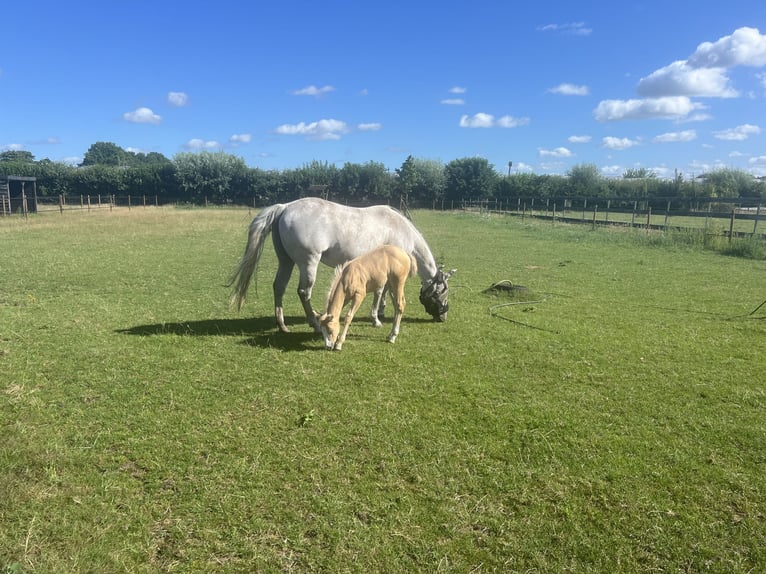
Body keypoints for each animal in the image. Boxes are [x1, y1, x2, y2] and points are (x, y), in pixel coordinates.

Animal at [229, 197, 455, 333]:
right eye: (442, 293)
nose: (443, 316)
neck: (400, 230)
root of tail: (285, 207)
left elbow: (380, 292)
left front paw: (380, 313)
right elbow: (381, 293)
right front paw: (376, 318)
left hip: (286, 261)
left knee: (279, 287)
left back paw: (282, 325)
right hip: (308, 262)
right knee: (303, 292)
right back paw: (314, 323)